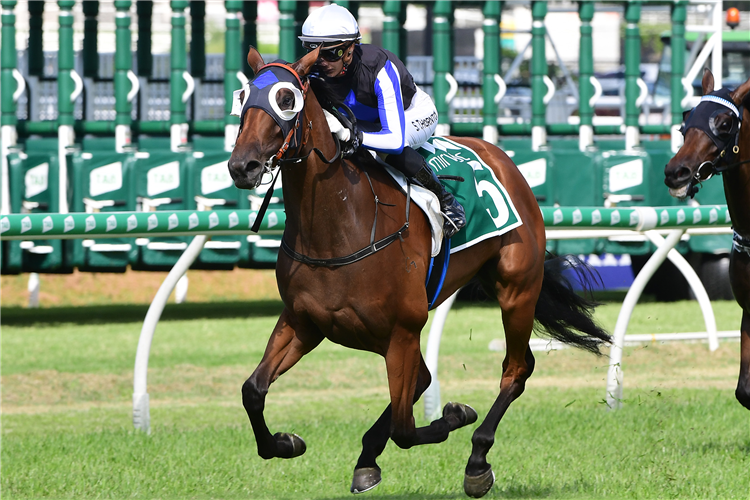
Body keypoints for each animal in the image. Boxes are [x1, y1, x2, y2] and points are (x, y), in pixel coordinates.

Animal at [228, 46, 612, 496]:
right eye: (242, 97)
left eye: (286, 99)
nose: (242, 166)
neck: (338, 226)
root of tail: (502, 157)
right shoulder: (304, 322)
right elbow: (252, 390)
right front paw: (286, 442)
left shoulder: (403, 331)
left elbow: (406, 429)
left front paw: (457, 415)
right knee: (429, 380)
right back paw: (369, 458)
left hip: (516, 289)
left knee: (515, 370)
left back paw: (477, 460)